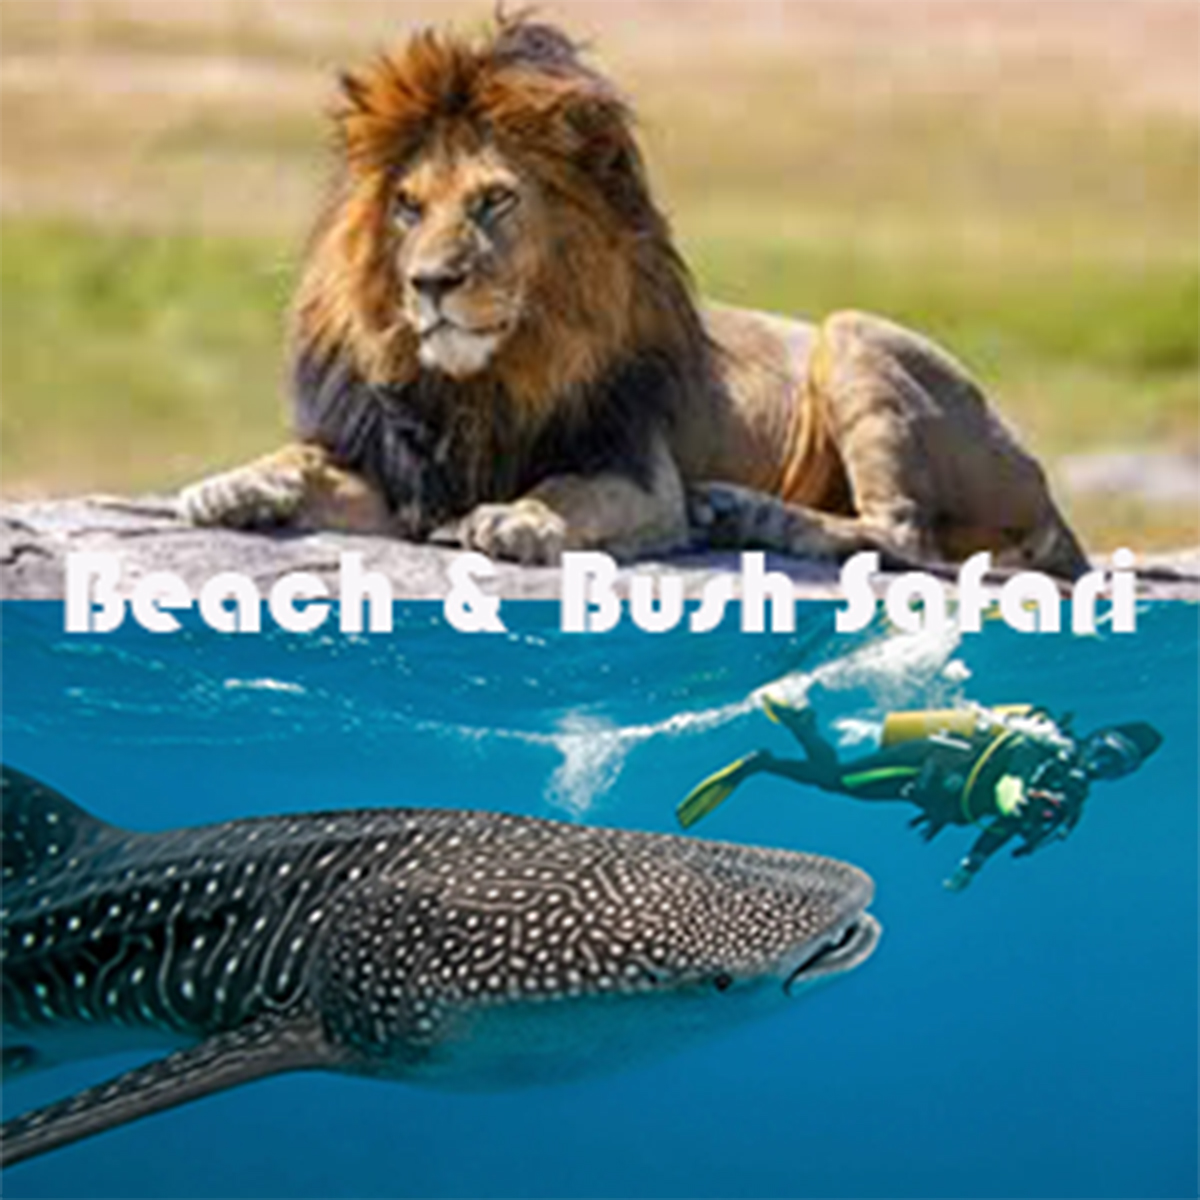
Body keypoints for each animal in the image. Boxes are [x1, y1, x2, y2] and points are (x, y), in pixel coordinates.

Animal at [179, 16, 1089, 579]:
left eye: (493, 201)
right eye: (407, 206)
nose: (429, 284)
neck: (488, 380)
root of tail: (1044, 485)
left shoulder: (638, 475)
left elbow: (567, 491)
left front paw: (518, 520)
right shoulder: (404, 473)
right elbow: (299, 460)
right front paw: (232, 486)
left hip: (854, 334)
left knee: (904, 537)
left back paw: (743, 513)